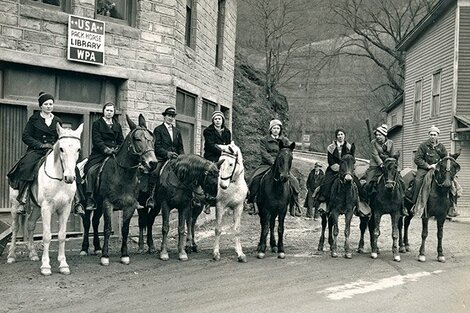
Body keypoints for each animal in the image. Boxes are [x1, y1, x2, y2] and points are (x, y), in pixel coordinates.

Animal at [7, 123, 83, 274]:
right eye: (61, 149)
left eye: (78, 149)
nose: (70, 178)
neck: (59, 179)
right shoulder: (47, 207)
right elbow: (47, 236)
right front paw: (46, 266)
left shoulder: (65, 208)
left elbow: (62, 235)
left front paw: (63, 264)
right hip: (14, 205)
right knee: (15, 227)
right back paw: (11, 255)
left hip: (37, 207)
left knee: (30, 224)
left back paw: (33, 254)